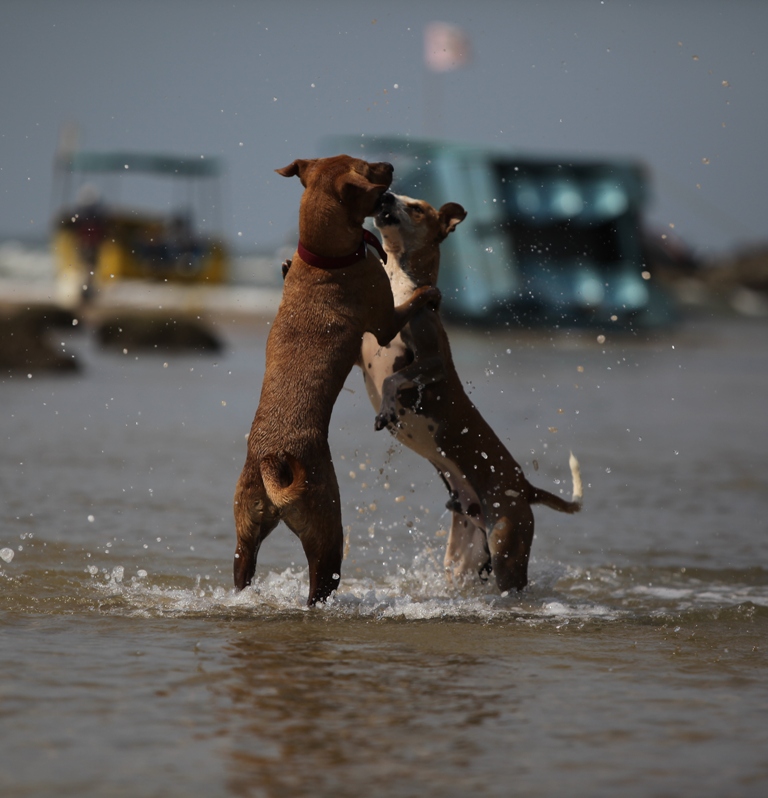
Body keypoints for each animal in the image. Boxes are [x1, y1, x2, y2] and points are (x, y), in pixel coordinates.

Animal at [232, 156, 438, 608]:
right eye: (370, 169)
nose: (391, 164)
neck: (324, 257)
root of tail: (272, 461)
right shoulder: (384, 321)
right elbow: (411, 302)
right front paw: (430, 293)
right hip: (328, 535)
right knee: (319, 587)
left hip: (245, 533)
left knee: (243, 570)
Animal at [360, 194, 584, 592]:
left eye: (416, 207)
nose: (385, 196)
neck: (399, 284)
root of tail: (525, 487)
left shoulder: (432, 361)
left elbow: (392, 380)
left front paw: (387, 409)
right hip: (464, 555)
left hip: (508, 546)